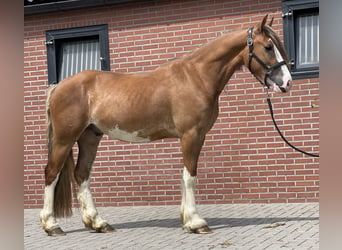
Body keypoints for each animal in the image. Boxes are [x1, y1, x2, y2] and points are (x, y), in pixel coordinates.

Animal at [39, 15, 292, 236]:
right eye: (268, 47)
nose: (287, 83)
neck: (196, 77)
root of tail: (59, 86)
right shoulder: (192, 135)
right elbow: (190, 176)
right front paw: (196, 222)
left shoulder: (192, 136)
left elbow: (185, 175)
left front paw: (187, 220)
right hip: (65, 138)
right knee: (52, 173)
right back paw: (52, 225)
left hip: (90, 136)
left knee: (81, 174)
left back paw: (99, 223)